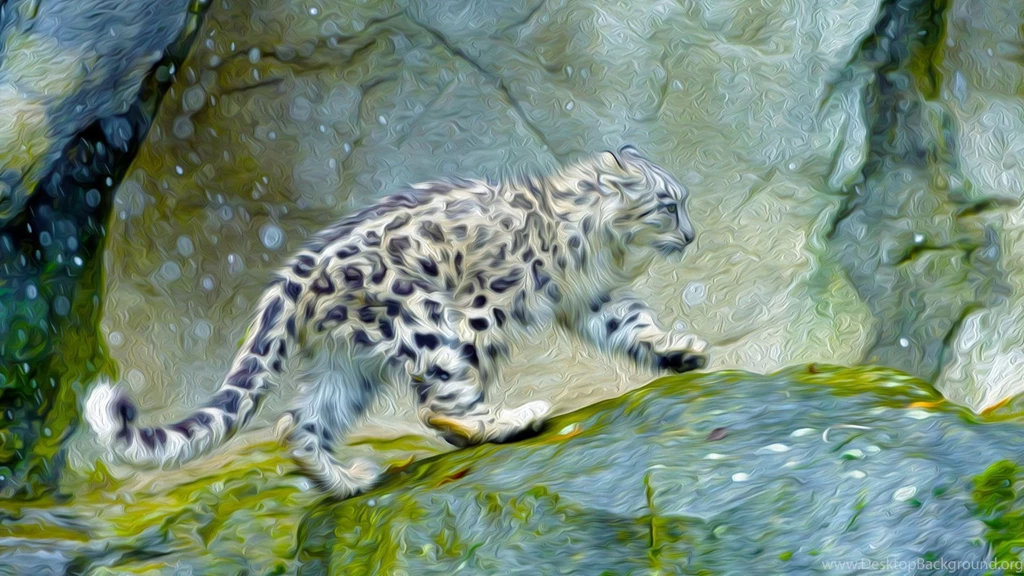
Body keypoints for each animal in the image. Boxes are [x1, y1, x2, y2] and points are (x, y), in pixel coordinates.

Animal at [84, 145, 710, 499]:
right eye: (667, 204)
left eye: (683, 200)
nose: (692, 234)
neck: (596, 251)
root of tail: (295, 275)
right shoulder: (484, 304)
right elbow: (472, 365)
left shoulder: (593, 300)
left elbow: (633, 326)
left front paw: (681, 352)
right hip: (421, 318)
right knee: (436, 398)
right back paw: (508, 420)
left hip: (348, 362)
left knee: (301, 421)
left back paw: (346, 482)